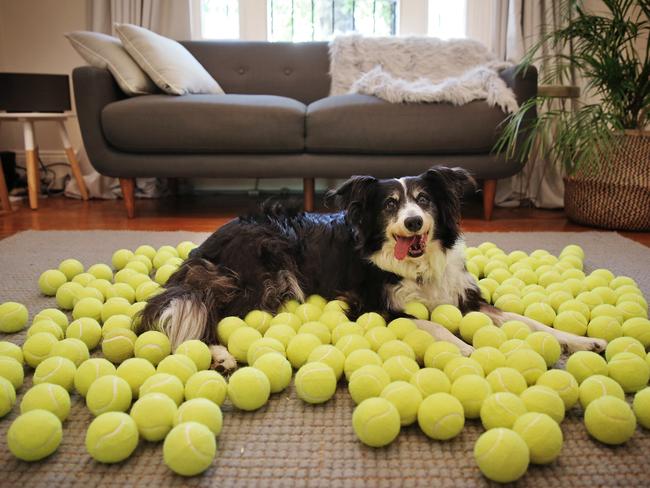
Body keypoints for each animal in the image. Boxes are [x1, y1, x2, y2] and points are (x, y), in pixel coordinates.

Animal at [139, 166, 604, 372]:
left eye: (425, 200)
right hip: (267, 275)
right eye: (389, 205)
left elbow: (527, 321)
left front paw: (581, 341)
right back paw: (218, 353)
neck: (415, 263)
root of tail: (208, 242)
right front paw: (465, 345)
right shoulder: (372, 306)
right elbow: (430, 323)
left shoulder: (462, 296)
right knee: (215, 311)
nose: (413, 223)